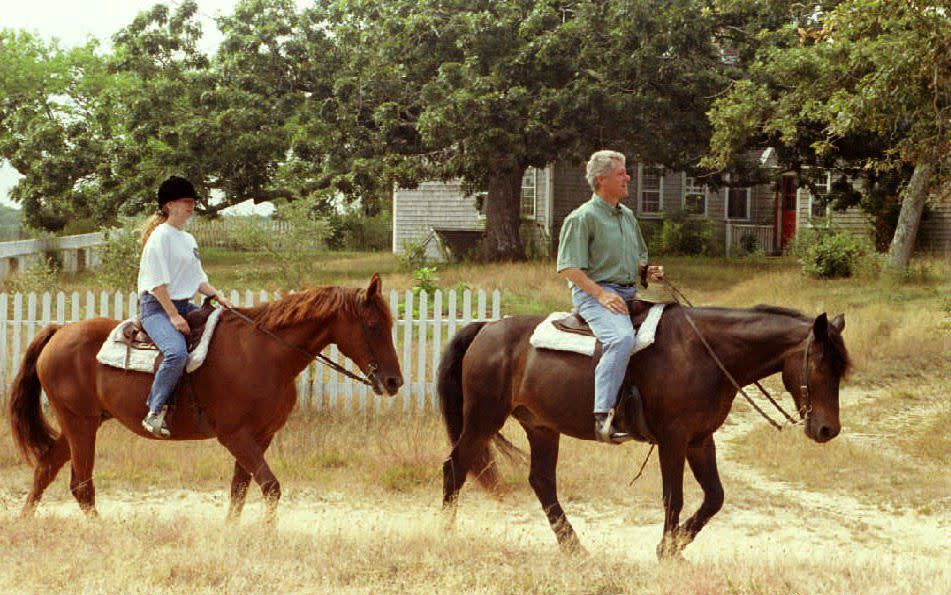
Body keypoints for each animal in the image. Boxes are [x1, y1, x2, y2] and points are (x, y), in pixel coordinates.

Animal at [11, 274, 406, 520]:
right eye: (373, 326)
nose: (393, 381)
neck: (265, 352)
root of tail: (59, 330)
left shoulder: (260, 436)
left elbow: (240, 490)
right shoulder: (235, 436)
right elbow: (270, 487)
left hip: (79, 424)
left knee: (45, 469)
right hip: (80, 424)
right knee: (81, 486)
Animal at [436, 304, 848, 560]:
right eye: (821, 365)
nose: (828, 429)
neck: (706, 353)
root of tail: (486, 328)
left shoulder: (701, 440)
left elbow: (714, 497)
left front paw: (675, 548)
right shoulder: (674, 439)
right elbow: (674, 498)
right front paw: (666, 551)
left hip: (541, 427)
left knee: (541, 482)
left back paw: (574, 548)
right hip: (483, 418)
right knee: (455, 468)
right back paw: (447, 534)